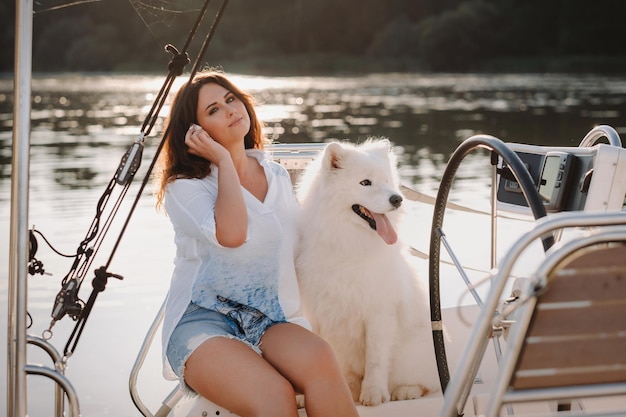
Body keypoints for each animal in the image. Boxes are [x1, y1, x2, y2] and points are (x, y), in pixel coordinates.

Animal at [294, 138, 436, 404]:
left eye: (388, 181)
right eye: (365, 182)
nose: (397, 199)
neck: (349, 244)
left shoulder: (379, 312)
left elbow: (376, 359)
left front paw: (374, 393)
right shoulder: (317, 312)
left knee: (427, 383)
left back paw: (404, 391)